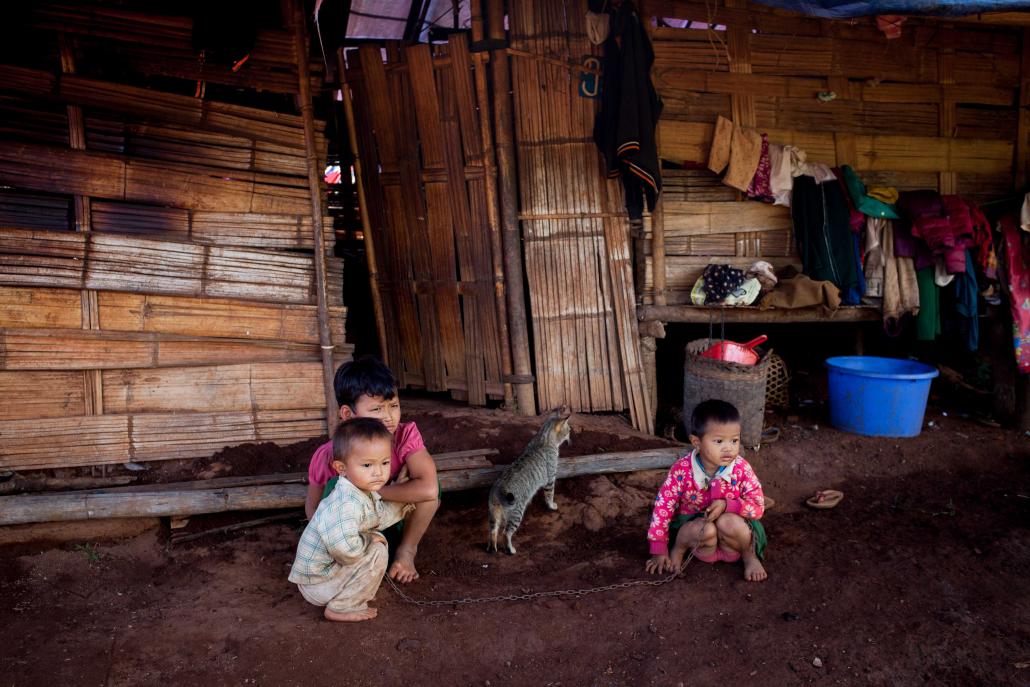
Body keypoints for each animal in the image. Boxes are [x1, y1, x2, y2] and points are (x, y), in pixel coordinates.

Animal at [488, 405, 576, 556]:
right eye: (569, 430)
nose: (571, 436)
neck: (543, 437)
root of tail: (498, 489)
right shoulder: (550, 478)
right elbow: (550, 495)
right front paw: (551, 506)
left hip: (494, 515)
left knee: (493, 531)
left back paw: (493, 550)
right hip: (517, 512)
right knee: (506, 533)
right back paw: (510, 549)